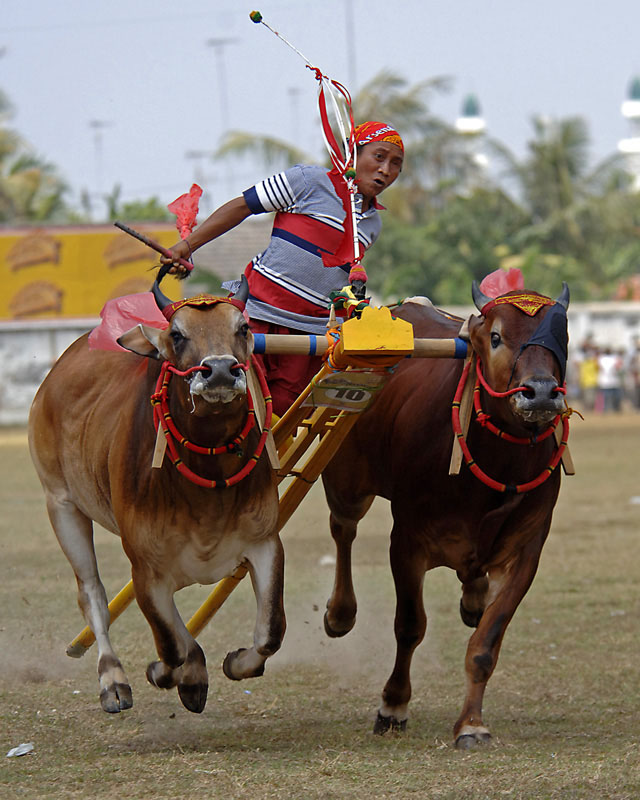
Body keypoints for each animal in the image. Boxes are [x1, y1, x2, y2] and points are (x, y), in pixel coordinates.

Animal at [29, 278, 284, 716]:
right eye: (177, 334)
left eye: (244, 328)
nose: (220, 371)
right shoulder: (146, 566)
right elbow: (170, 645)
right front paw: (175, 675)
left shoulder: (265, 541)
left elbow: (270, 631)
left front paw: (235, 663)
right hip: (60, 504)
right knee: (92, 594)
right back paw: (113, 680)